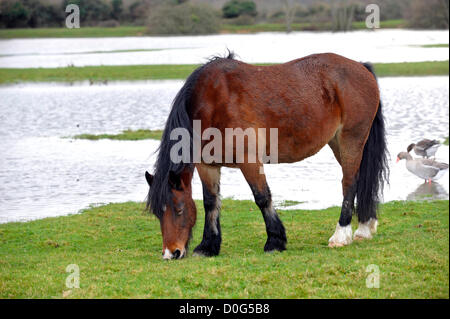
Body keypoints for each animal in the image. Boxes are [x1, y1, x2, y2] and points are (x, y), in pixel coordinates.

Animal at [146, 52, 388, 262]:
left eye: (178, 210)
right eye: (158, 213)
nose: (171, 253)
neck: (212, 102)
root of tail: (361, 67)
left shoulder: (249, 160)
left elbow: (262, 197)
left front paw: (275, 241)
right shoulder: (208, 165)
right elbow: (210, 202)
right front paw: (208, 246)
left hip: (351, 141)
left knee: (349, 182)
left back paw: (341, 235)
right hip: (337, 143)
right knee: (360, 180)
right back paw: (364, 228)